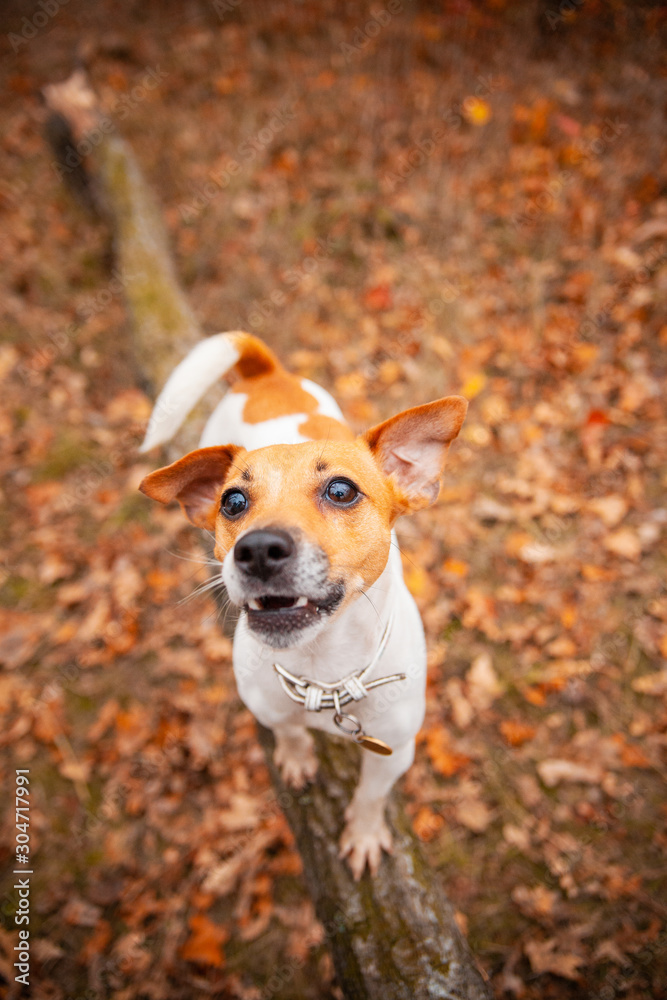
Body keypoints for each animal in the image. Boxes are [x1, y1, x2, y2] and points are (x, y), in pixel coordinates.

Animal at [138, 334, 468, 876]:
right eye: (232, 501)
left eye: (341, 490)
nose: (256, 549)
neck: (323, 672)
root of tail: (264, 373)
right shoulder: (268, 709)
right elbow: (289, 734)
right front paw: (296, 757)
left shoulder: (393, 752)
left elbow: (370, 797)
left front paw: (363, 834)